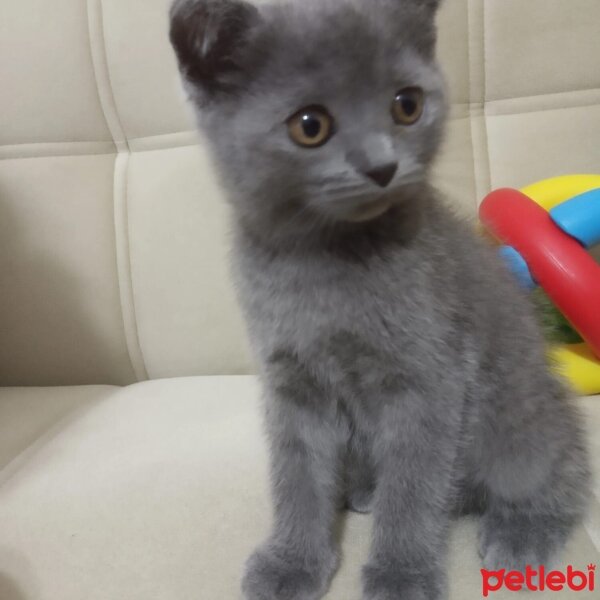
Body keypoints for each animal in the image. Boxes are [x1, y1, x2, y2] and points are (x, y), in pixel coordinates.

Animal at [169, 1, 592, 600]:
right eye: (310, 125)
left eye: (407, 105)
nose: (382, 165)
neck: (328, 262)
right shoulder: (291, 383)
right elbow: (296, 477)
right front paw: (292, 562)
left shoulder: (430, 380)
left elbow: (412, 488)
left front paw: (402, 575)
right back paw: (367, 491)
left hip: (515, 421)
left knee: (561, 471)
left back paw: (523, 531)